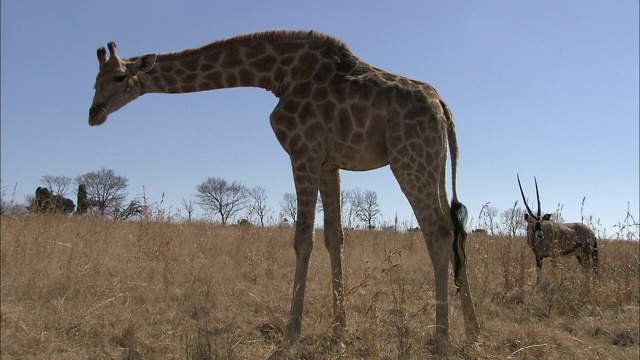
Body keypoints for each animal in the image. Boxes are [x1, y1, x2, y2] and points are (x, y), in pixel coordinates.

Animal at [89, 31, 480, 352]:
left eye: (119, 76)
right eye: (95, 79)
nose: (94, 113)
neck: (276, 74)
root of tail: (443, 107)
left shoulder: (303, 151)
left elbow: (303, 239)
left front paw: (292, 333)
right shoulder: (329, 163)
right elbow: (335, 237)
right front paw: (338, 332)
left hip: (409, 159)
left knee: (437, 232)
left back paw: (442, 337)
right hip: (434, 163)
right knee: (456, 232)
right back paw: (473, 332)